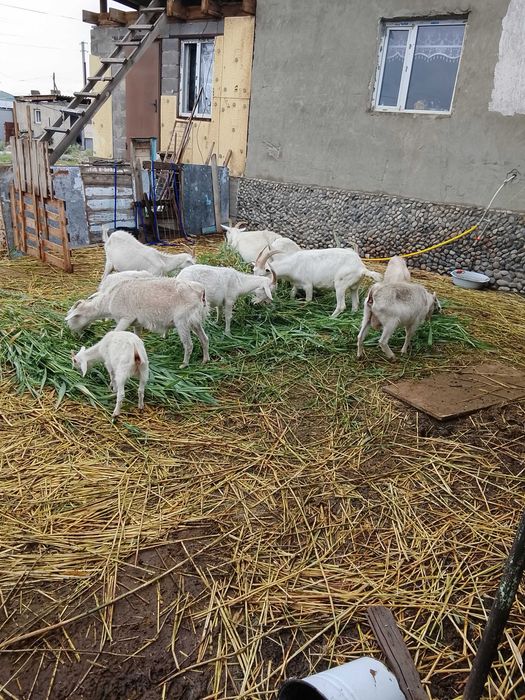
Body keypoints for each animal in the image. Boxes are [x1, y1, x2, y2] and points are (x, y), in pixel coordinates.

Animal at [66, 278, 209, 368]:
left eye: (73, 319)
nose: (73, 335)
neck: (108, 302)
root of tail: (200, 291)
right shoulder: (137, 323)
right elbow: (137, 338)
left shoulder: (125, 318)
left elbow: (115, 333)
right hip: (195, 320)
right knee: (204, 339)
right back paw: (205, 360)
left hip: (182, 321)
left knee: (189, 344)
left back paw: (184, 364)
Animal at [253, 247, 382, 317]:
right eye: (253, 271)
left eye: (262, 274)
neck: (293, 264)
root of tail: (361, 268)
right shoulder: (296, 284)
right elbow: (292, 293)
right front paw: (291, 301)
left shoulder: (308, 285)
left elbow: (308, 300)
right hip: (354, 287)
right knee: (355, 303)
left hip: (340, 284)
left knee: (341, 305)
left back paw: (330, 318)